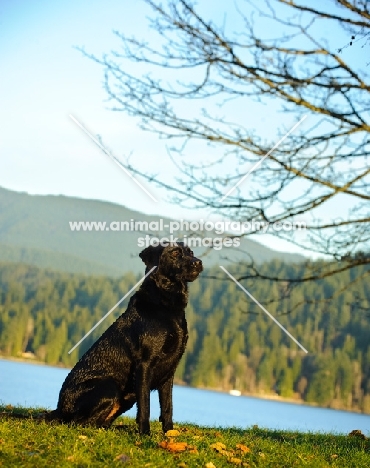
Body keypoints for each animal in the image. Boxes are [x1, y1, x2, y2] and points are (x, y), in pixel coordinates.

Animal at [48, 241, 202, 436]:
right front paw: (145, 435)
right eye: (175, 253)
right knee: (76, 423)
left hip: (126, 397)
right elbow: (145, 406)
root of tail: (59, 410)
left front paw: (169, 434)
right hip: (109, 386)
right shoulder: (144, 364)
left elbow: (167, 408)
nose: (198, 262)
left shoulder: (170, 370)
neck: (166, 305)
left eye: (191, 252)